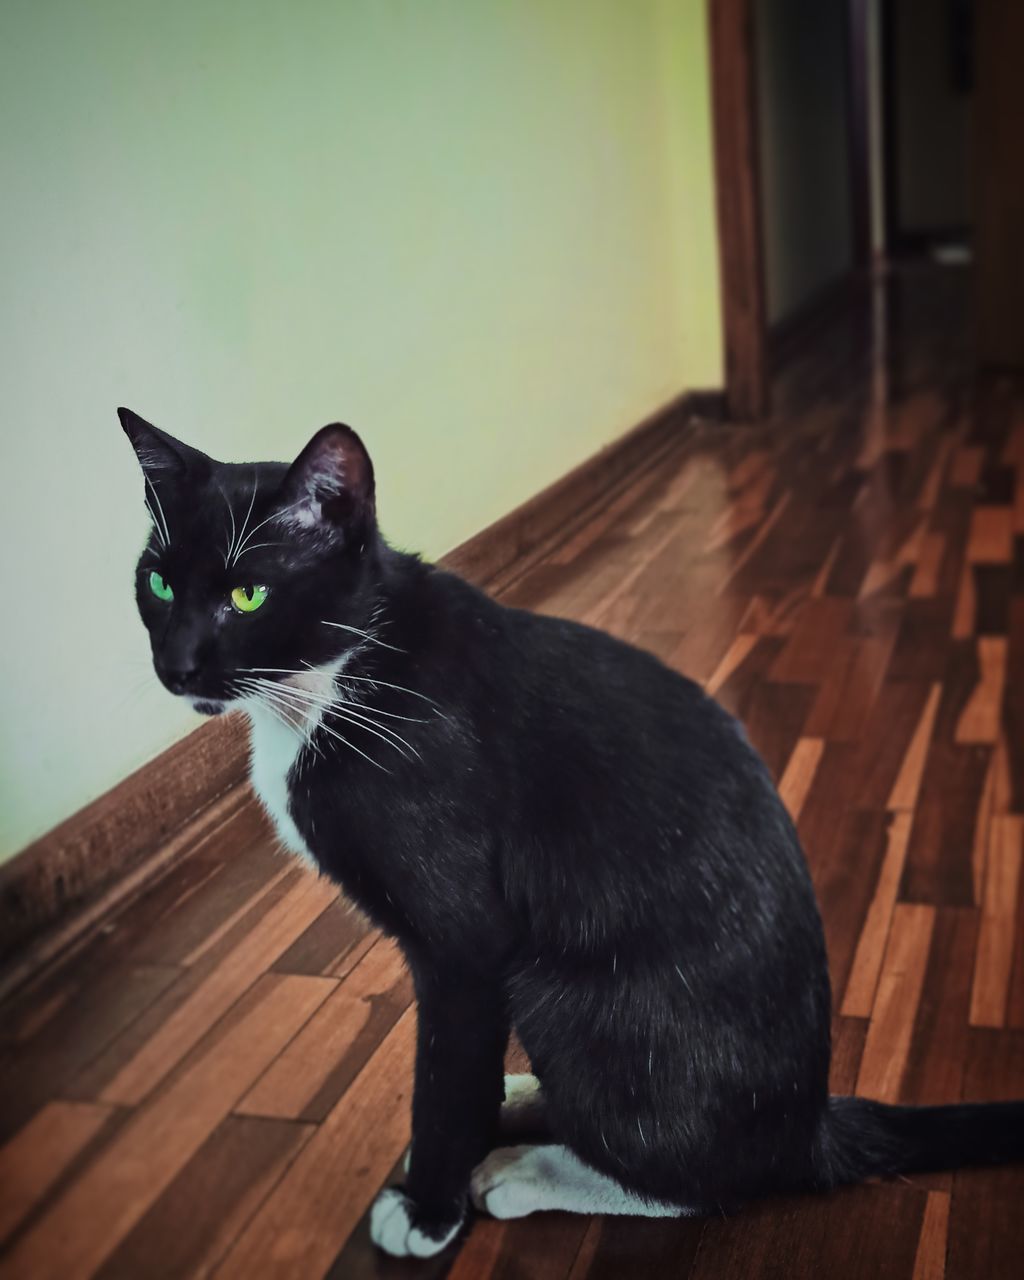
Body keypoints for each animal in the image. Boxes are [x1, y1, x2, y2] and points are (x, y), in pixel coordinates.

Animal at [122, 409, 1024, 1259]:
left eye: (248, 595)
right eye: (158, 583)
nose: (176, 666)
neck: (334, 687)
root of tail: (809, 1128)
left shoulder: (465, 947)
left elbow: (446, 1080)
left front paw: (428, 1211)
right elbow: (463, 1073)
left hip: (558, 991)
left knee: (708, 1184)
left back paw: (531, 1171)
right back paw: (531, 1103)